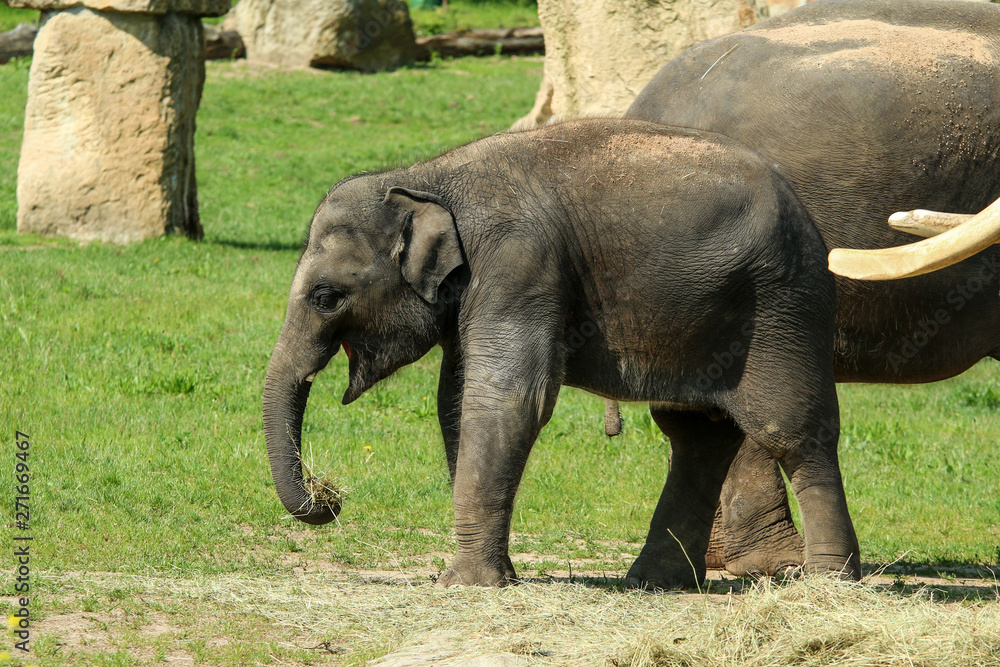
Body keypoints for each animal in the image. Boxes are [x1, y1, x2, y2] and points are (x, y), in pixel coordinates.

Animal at [262, 118, 861, 588]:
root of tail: (804, 211)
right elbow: (455, 401)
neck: (427, 178)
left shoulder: (520, 265)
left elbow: (509, 400)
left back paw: (829, 582)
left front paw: (465, 584)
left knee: (791, 430)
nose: (329, 495)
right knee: (697, 437)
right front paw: (488, 576)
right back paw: (653, 582)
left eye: (326, 297)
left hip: (784, 305)